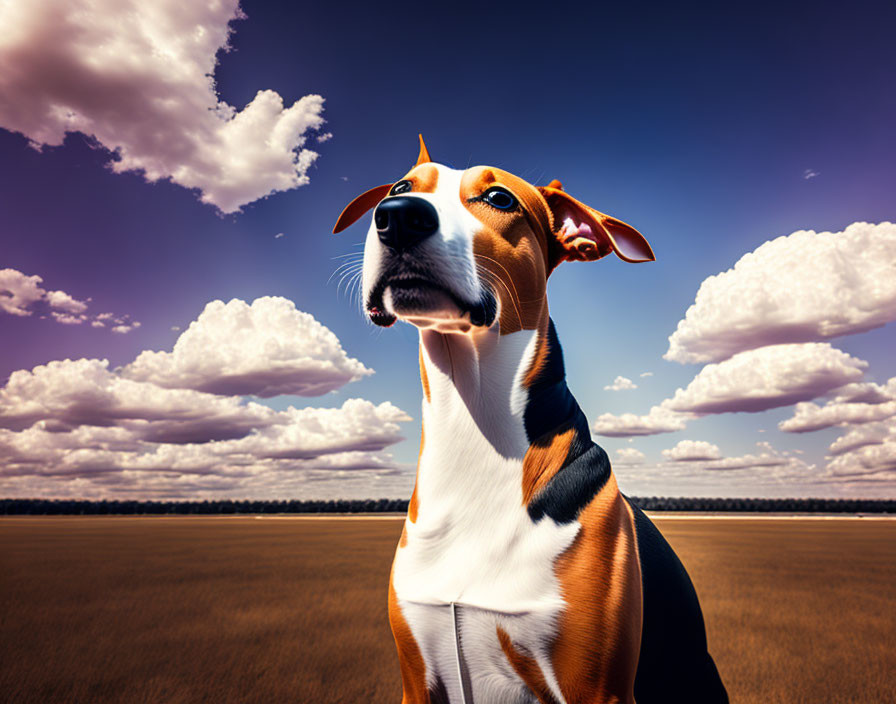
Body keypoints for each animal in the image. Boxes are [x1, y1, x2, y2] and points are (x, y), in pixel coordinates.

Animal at [332, 138, 724, 704]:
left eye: (500, 197)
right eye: (401, 187)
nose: (399, 216)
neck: (472, 427)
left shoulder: (595, 689)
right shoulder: (415, 678)